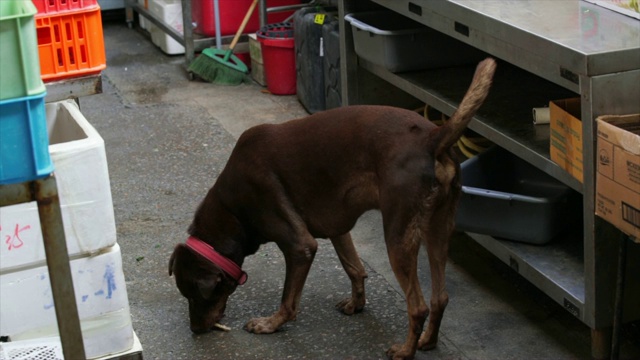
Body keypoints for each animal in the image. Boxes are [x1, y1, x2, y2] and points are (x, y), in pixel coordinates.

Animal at [169, 57, 496, 358]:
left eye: (196, 296)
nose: (195, 330)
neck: (231, 208)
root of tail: (433, 137)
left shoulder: (299, 246)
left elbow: (288, 299)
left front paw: (270, 324)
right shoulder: (338, 229)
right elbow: (354, 268)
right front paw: (356, 304)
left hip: (399, 237)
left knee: (418, 306)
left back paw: (405, 350)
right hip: (438, 230)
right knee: (440, 297)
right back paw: (427, 341)